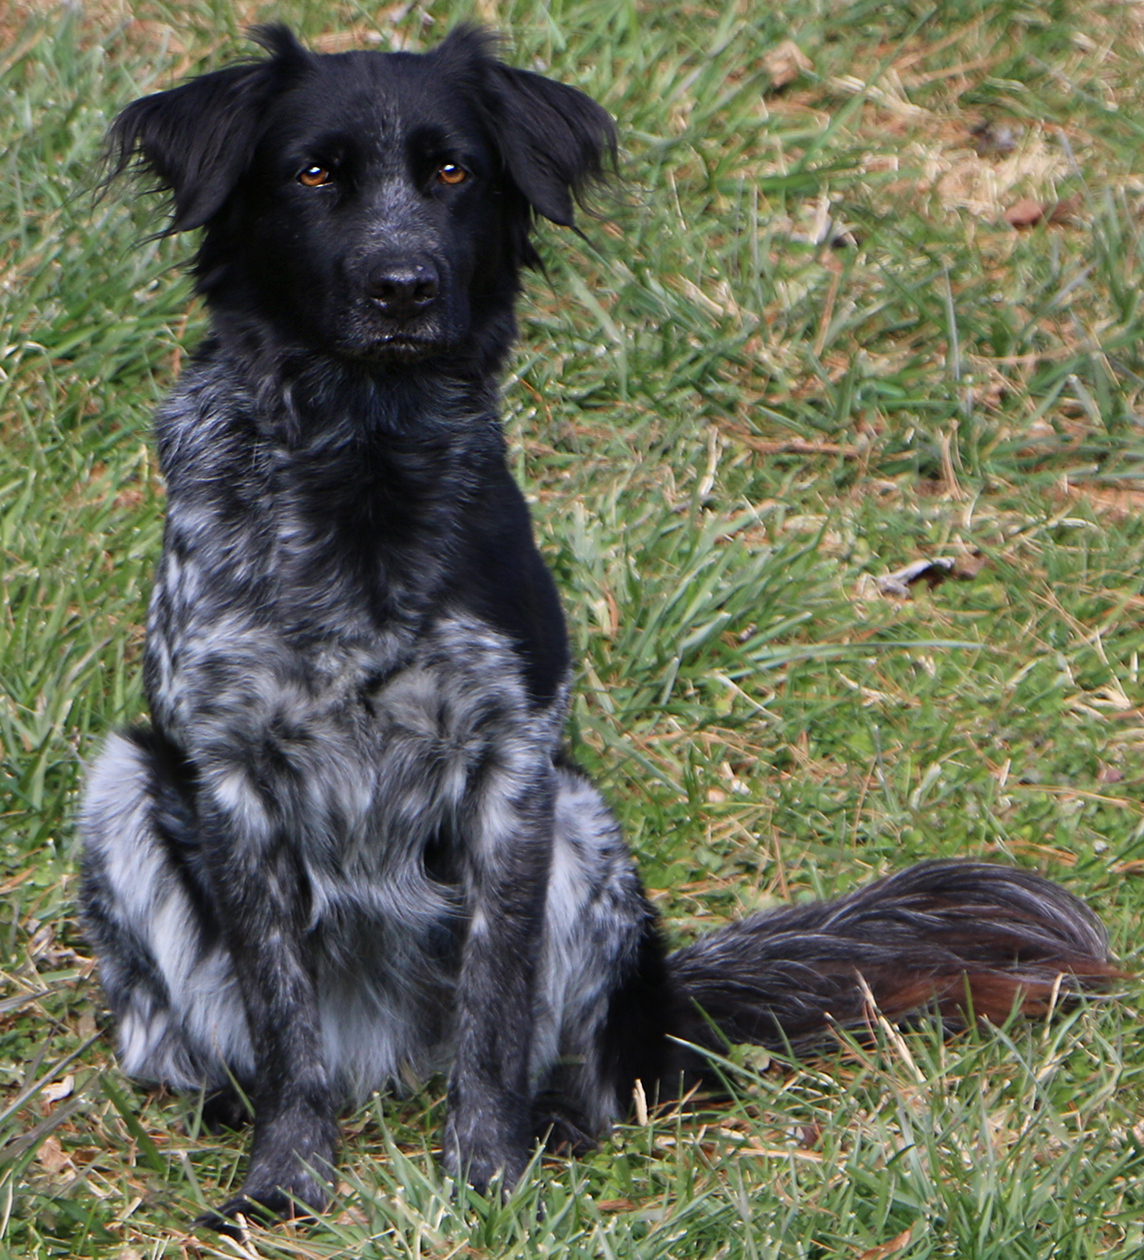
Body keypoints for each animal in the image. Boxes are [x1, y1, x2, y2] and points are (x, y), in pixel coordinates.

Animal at [82, 24, 1123, 1234]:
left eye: (453, 171)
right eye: (312, 174)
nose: (405, 285)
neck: (364, 471)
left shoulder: (515, 767)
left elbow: (493, 1014)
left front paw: (487, 1179)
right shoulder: (231, 771)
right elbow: (285, 1029)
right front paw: (282, 1186)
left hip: (585, 823)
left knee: (572, 1070)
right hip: (119, 789)